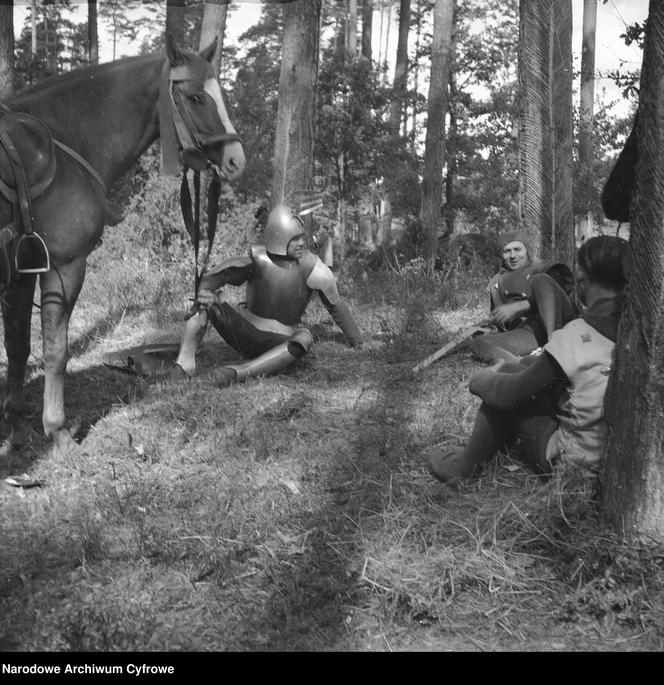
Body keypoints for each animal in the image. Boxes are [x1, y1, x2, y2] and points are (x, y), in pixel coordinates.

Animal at [0, 34, 246, 452]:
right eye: (196, 97)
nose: (236, 160)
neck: (60, 144)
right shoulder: (64, 267)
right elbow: (55, 349)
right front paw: (58, 430)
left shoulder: (22, 271)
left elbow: (18, 345)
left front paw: (18, 429)